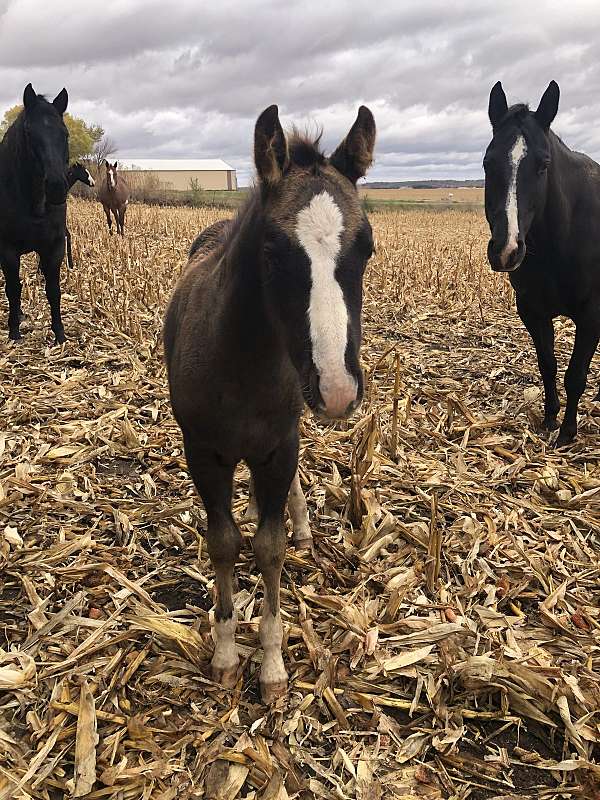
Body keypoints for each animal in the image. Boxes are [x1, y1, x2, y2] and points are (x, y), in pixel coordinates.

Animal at [0, 83, 69, 342]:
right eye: (30, 133)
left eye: (65, 134)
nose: (57, 187)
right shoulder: (7, 250)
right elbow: (13, 288)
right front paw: (14, 333)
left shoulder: (55, 246)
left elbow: (53, 290)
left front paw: (60, 334)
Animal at [164, 104, 376, 702]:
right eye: (274, 252)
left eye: (366, 248)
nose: (336, 389)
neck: (243, 363)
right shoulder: (204, 452)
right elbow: (224, 544)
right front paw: (226, 655)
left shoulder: (280, 446)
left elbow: (270, 547)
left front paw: (274, 665)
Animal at [484, 81, 600, 447]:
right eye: (488, 163)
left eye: (543, 165)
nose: (506, 249)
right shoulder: (532, 310)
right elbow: (547, 364)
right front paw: (550, 418)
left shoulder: (592, 315)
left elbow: (575, 375)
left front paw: (567, 433)